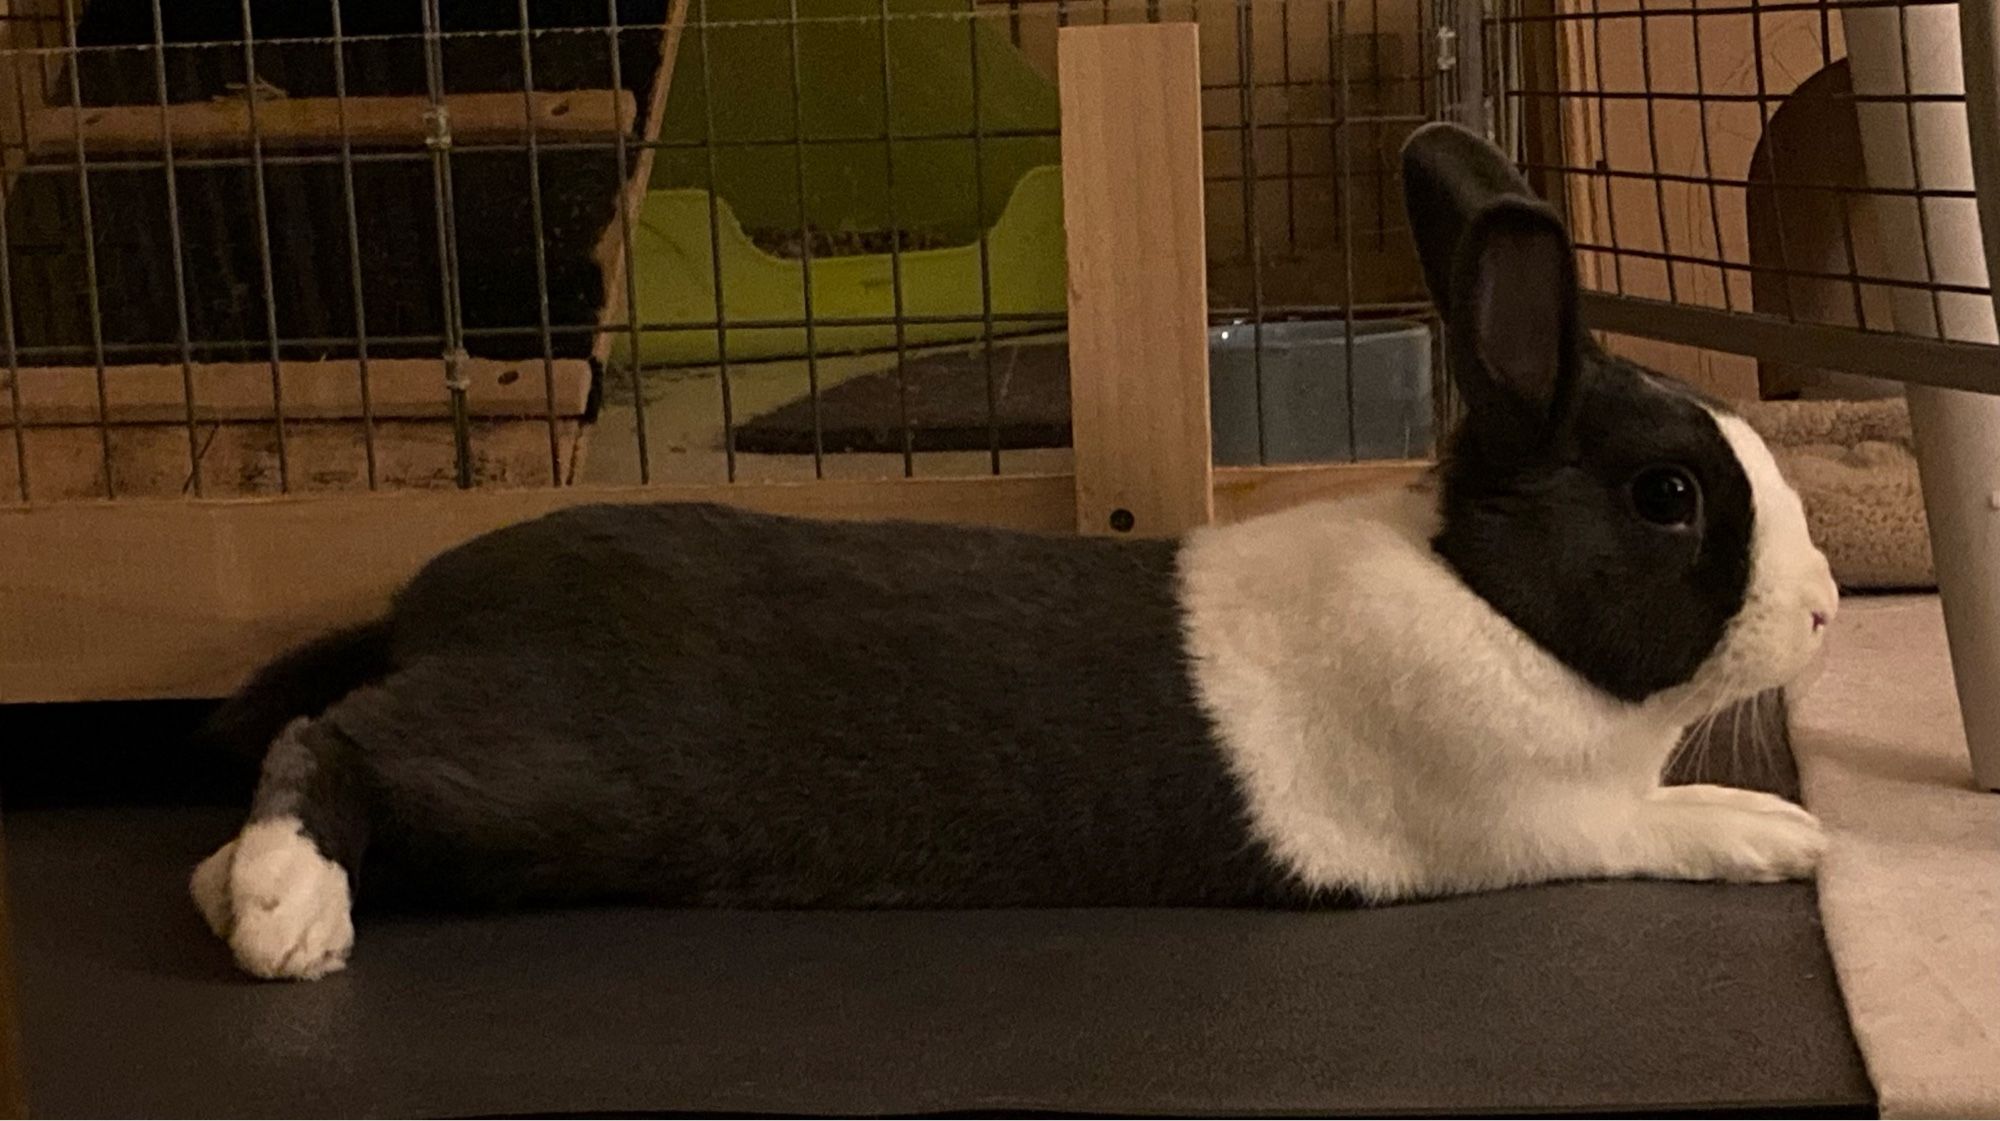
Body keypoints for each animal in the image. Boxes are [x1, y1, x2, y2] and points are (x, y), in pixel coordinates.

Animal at [191, 124, 1840, 980]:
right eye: (1667, 498)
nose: (1827, 614)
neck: (1489, 599)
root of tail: (431, 600)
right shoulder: (1521, 820)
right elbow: (1651, 826)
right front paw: (1781, 836)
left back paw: (227, 887)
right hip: (548, 773)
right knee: (325, 744)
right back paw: (282, 914)